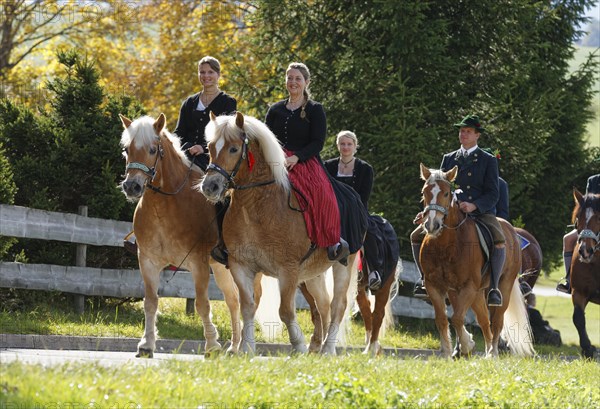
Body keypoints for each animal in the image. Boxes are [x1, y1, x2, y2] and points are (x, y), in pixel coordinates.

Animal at [119, 113, 244, 356]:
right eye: (127, 149)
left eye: (152, 150)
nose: (131, 187)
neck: (165, 205)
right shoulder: (147, 261)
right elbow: (150, 301)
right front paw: (146, 344)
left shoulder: (198, 264)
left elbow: (202, 304)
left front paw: (212, 345)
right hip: (220, 267)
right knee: (233, 300)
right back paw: (234, 348)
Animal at [200, 111, 360, 354]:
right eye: (210, 147)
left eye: (234, 149)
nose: (210, 187)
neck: (256, 206)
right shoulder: (241, 265)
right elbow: (248, 306)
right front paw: (246, 349)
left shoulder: (288, 270)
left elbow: (285, 311)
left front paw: (298, 345)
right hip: (313, 273)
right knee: (323, 304)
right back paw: (318, 347)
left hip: (344, 264)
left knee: (337, 306)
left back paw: (328, 349)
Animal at [418, 163, 536, 356]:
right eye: (424, 192)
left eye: (446, 193)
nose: (432, 225)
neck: (446, 245)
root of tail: (511, 230)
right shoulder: (434, 286)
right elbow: (442, 319)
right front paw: (448, 353)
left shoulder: (469, 287)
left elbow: (457, 318)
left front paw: (466, 345)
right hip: (475, 292)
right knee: (483, 320)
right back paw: (486, 351)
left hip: (502, 287)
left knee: (496, 321)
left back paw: (493, 354)